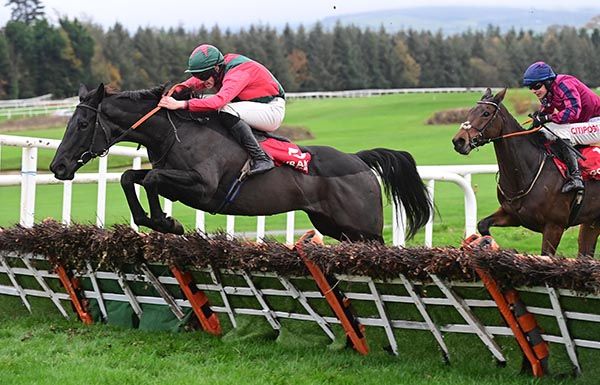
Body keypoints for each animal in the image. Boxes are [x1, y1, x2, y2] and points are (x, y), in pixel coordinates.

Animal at [50, 84, 432, 242]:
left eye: (82, 124)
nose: (58, 167)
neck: (176, 131)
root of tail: (357, 158)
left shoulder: (202, 187)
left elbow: (152, 180)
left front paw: (165, 222)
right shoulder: (171, 173)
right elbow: (131, 176)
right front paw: (154, 219)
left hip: (363, 229)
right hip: (333, 226)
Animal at [450, 87, 600, 255]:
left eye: (486, 113)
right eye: (470, 111)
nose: (459, 141)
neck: (526, 173)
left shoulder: (555, 226)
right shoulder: (512, 215)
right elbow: (483, 225)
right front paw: (487, 244)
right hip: (592, 222)